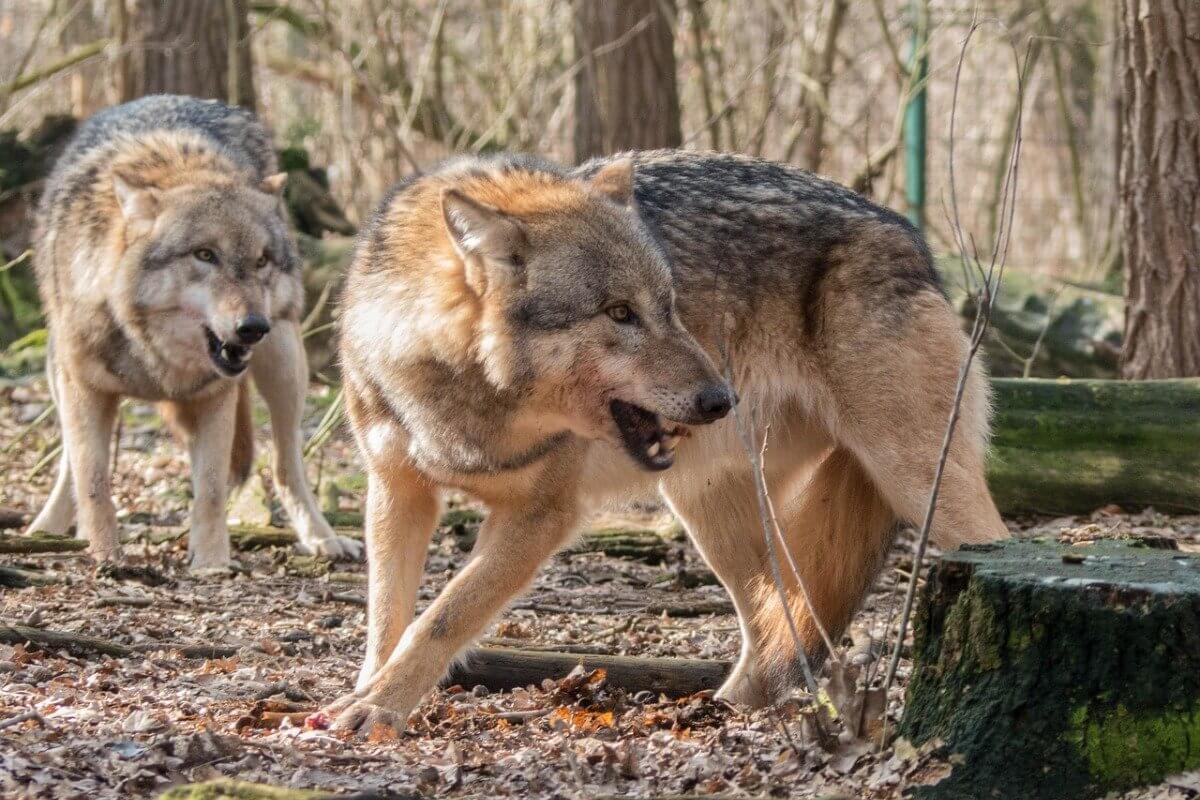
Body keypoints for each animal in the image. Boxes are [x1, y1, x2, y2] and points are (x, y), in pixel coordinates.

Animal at [25, 94, 357, 568]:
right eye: (205, 255)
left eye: (261, 260)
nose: (253, 327)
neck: (153, 355)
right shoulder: (85, 389)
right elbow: (92, 480)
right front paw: (107, 555)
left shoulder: (215, 396)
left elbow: (213, 489)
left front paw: (211, 563)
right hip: (58, 374)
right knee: (70, 462)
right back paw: (48, 530)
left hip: (285, 364)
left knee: (285, 464)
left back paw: (322, 538)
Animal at [324, 148, 1008, 734]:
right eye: (619, 313)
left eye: (670, 304)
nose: (720, 399)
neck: (464, 398)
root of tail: (908, 235)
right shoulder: (396, 492)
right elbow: (387, 617)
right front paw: (366, 694)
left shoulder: (542, 515)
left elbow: (443, 617)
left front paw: (378, 708)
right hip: (710, 509)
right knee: (778, 617)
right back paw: (729, 712)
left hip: (921, 486)